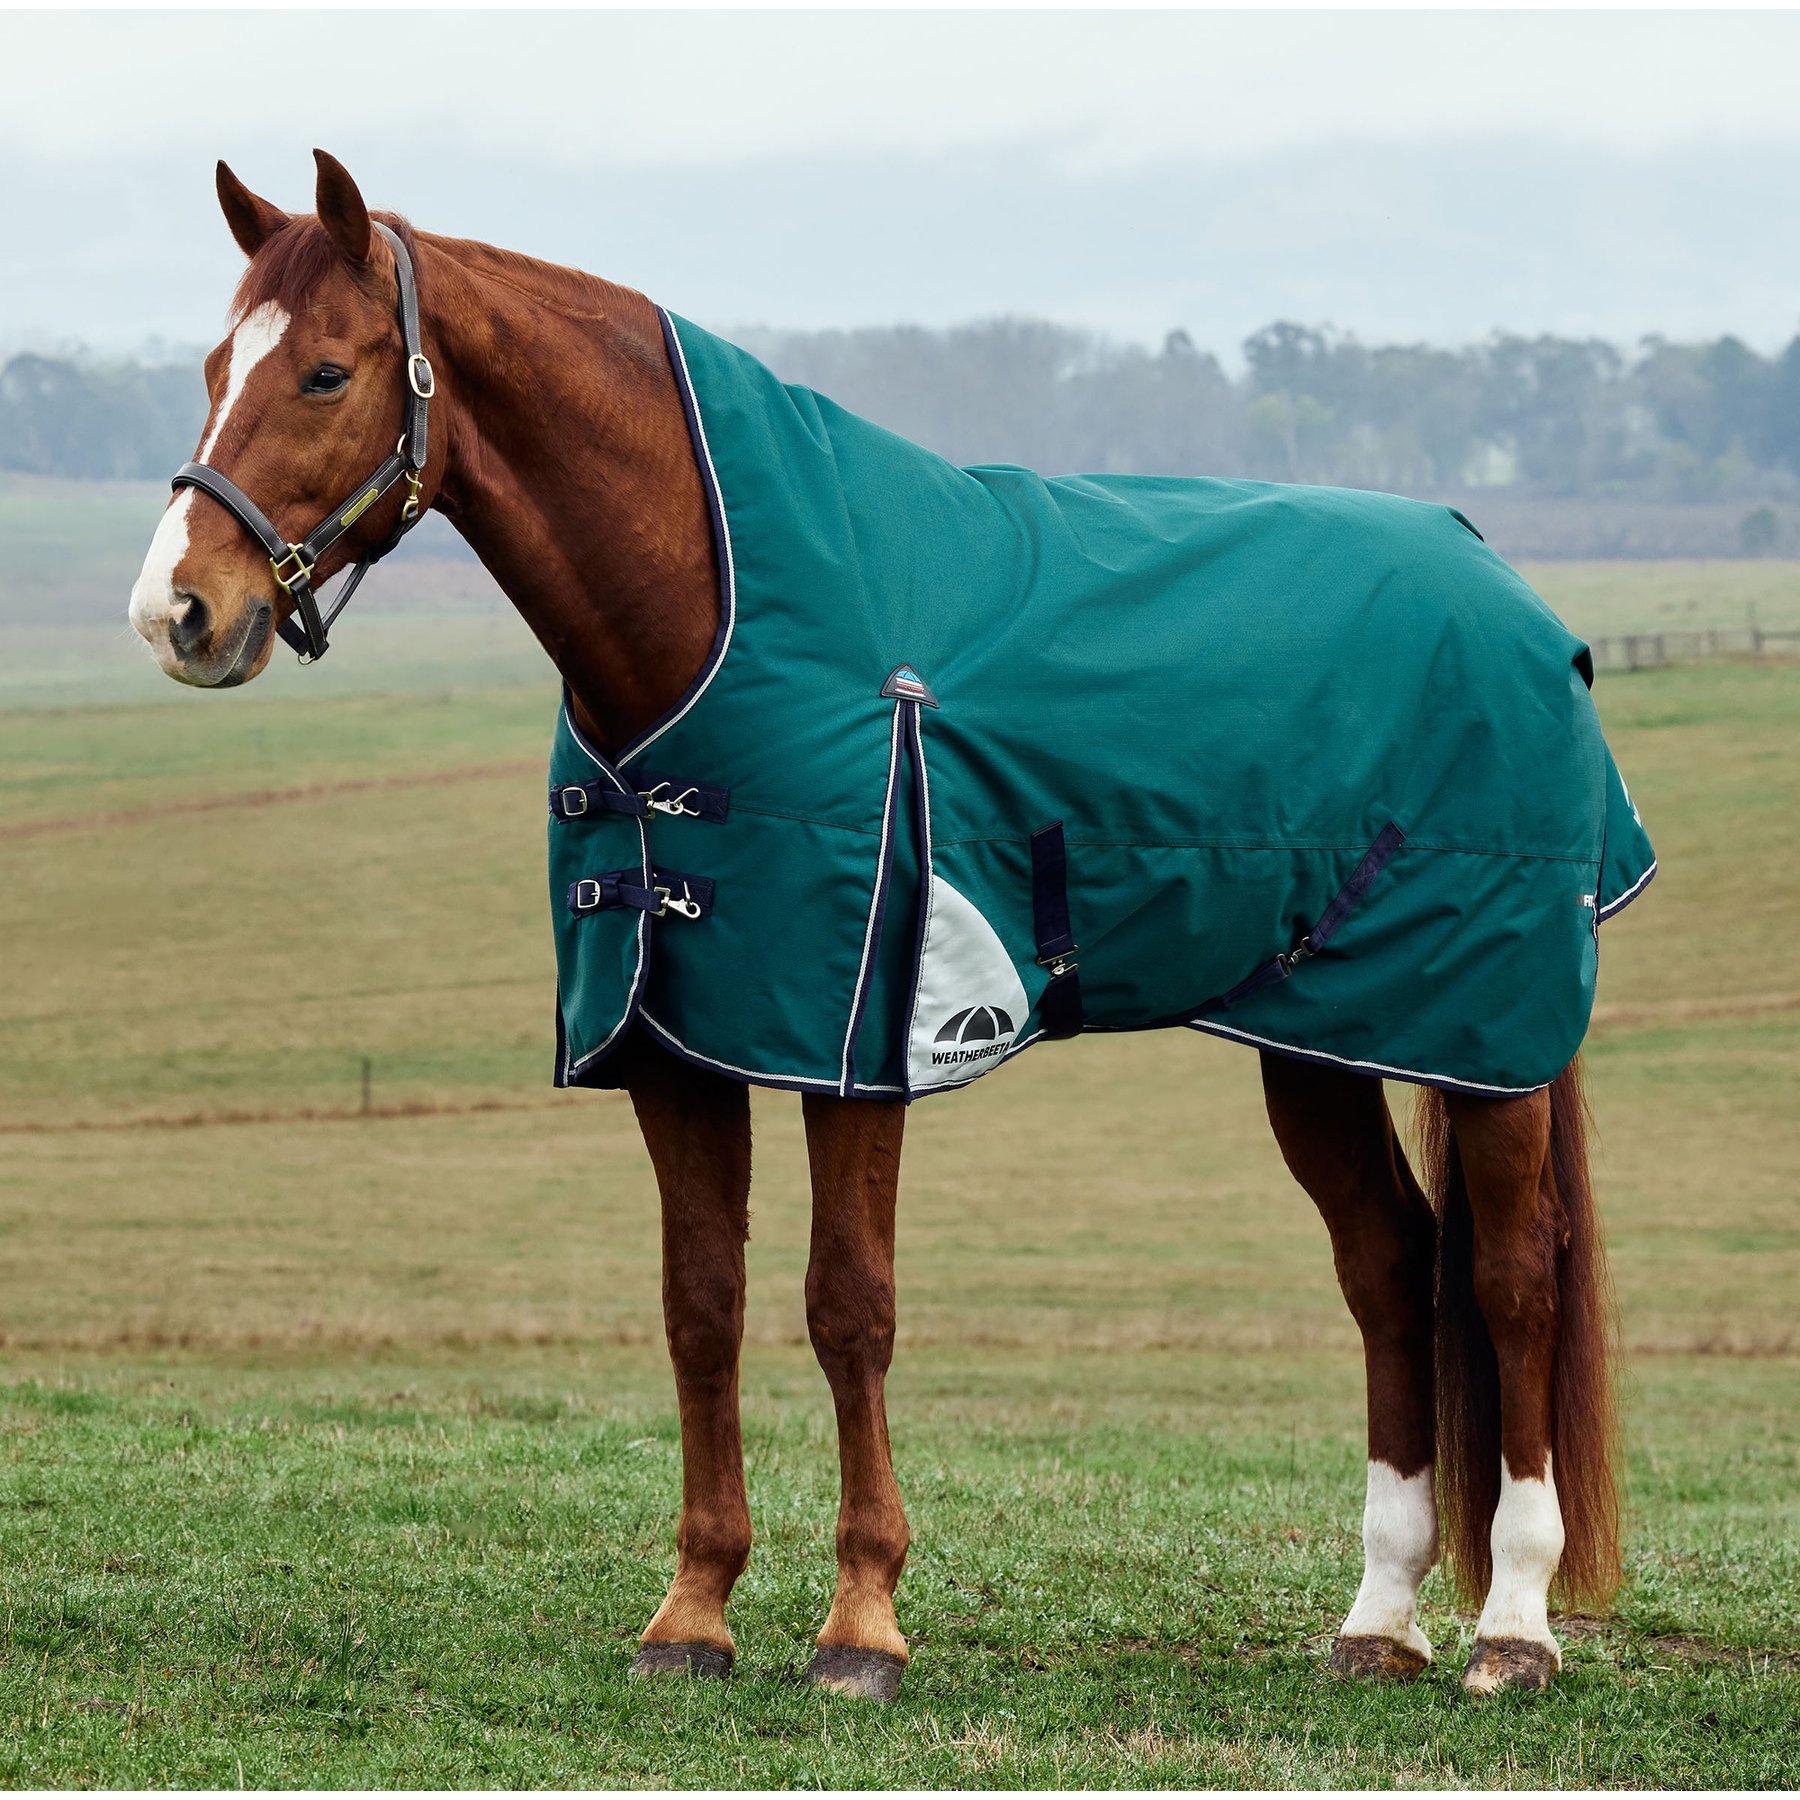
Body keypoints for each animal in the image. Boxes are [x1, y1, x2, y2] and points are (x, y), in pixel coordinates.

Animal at [129, 150, 1632, 1701]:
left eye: (323, 372)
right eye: (213, 367)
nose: (176, 612)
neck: (715, 615)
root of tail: (1506, 588)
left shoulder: (857, 1042)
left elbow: (848, 1305)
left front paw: (861, 1622)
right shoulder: (676, 1045)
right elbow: (701, 1305)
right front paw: (694, 1612)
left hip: (1488, 1036)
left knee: (1512, 1277)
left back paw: (1513, 1628)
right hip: (1320, 1035)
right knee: (1391, 1270)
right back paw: (1378, 1619)